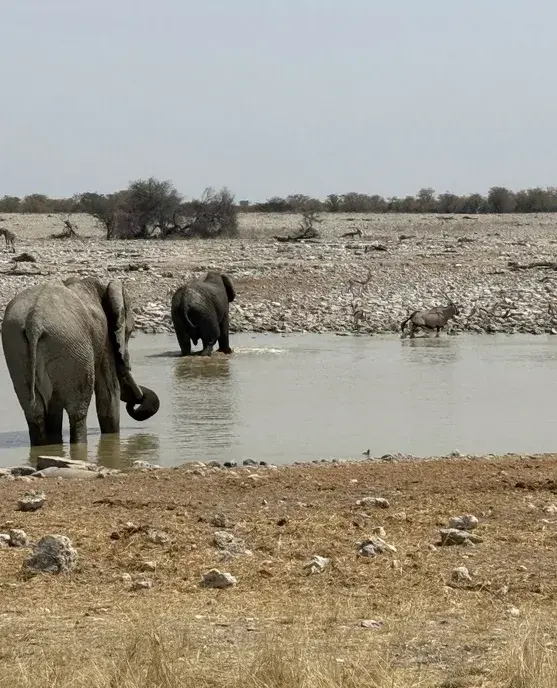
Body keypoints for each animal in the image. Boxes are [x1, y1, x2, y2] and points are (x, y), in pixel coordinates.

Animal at [1, 276, 160, 447]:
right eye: (129, 332)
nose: (137, 401)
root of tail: (34, 322)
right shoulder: (105, 340)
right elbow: (109, 392)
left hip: (16, 345)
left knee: (35, 413)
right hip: (70, 344)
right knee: (78, 411)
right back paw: (79, 443)